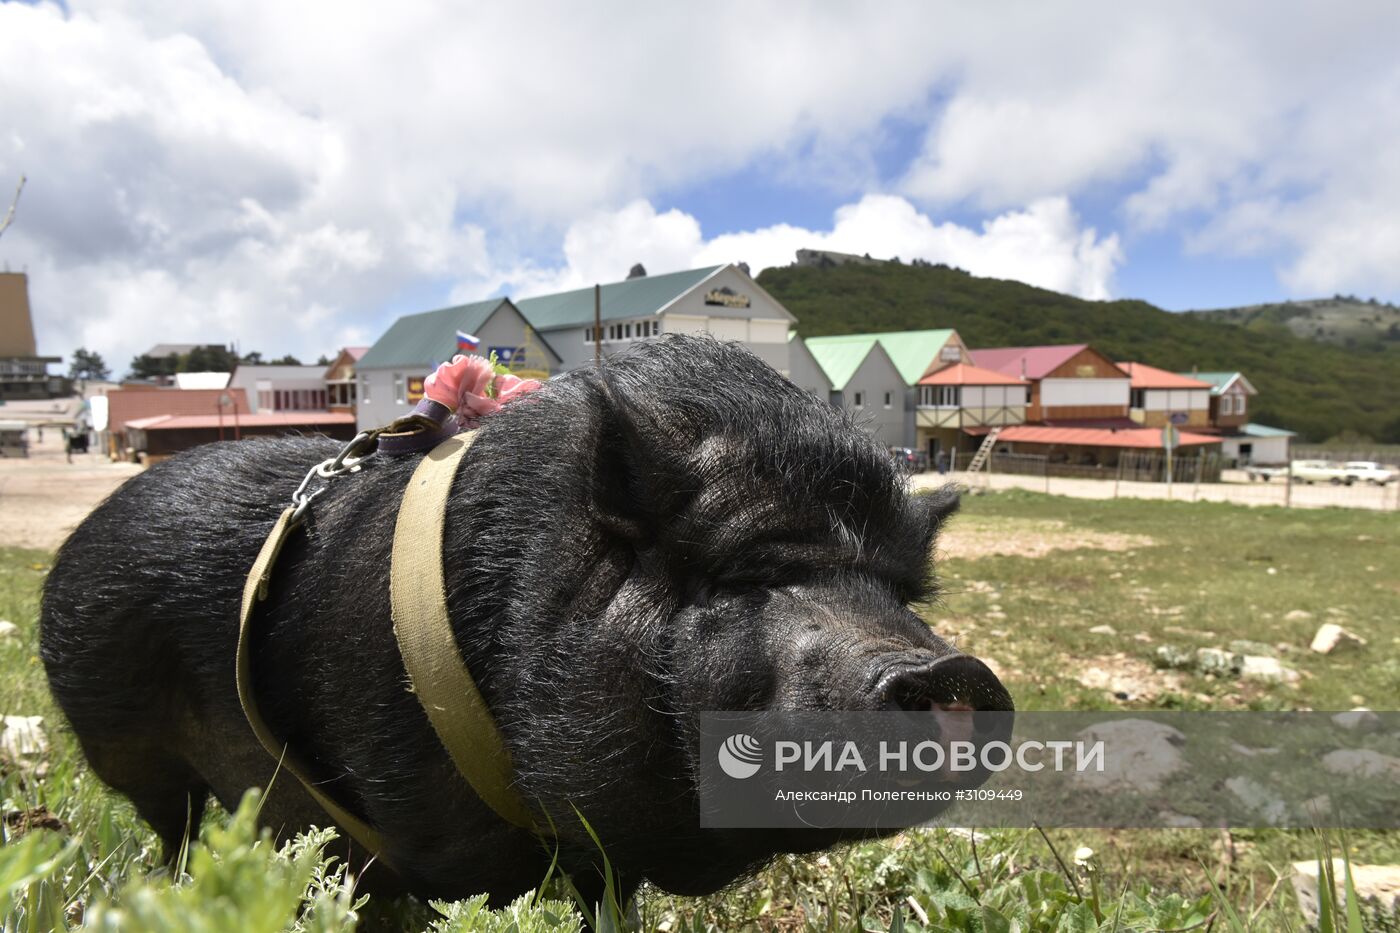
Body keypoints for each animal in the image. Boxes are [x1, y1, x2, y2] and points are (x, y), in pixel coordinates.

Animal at [38, 334, 1013, 902]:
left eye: (902, 591)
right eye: (744, 572)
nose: (950, 670)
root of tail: (72, 549)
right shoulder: (412, 820)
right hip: (131, 752)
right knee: (171, 824)